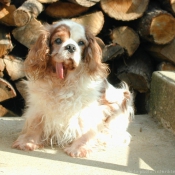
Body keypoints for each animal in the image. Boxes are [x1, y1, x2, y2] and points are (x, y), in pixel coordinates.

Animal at [11, 19, 134, 157]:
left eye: (81, 43)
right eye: (58, 40)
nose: (71, 47)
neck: (62, 81)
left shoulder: (86, 109)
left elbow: (85, 128)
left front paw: (79, 147)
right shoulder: (39, 105)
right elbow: (35, 124)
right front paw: (28, 141)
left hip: (121, 99)